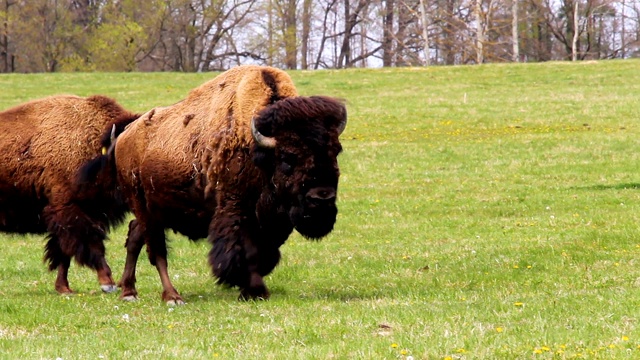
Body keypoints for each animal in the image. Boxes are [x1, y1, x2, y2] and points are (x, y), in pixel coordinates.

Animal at [83, 65, 350, 304]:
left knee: (135, 237)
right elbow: (247, 251)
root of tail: (124, 135)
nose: (322, 198)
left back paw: (129, 291)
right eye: (287, 157)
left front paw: (252, 289)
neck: (258, 150)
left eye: (335, 151)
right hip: (143, 206)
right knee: (157, 251)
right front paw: (254, 290)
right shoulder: (237, 211)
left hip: (154, 210)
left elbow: (266, 254)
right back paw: (172, 297)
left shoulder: (271, 222)